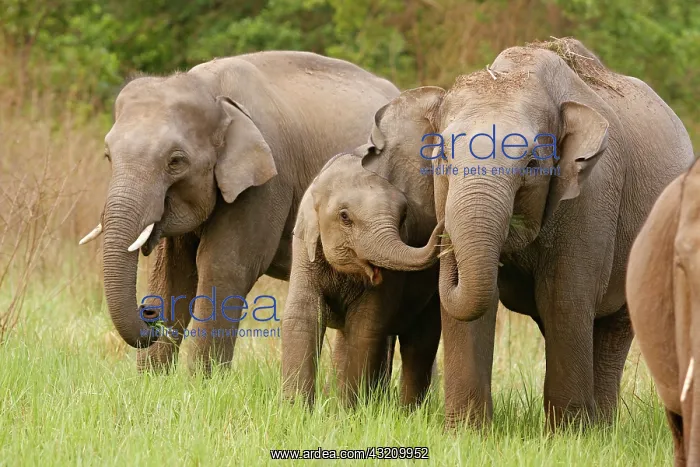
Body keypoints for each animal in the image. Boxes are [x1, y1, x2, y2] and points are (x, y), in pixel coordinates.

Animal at [78, 51, 399, 374]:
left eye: (176, 161)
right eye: (108, 156)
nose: (149, 313)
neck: (210, 90)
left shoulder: (265, 183)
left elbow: (223, 266)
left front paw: (200, 381)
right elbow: (172, 272)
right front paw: (153, 380)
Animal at [282, 89, 446, 407]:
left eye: (403, 217)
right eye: (345, 217)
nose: (443, 224)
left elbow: (366, 327)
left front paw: (347, 411)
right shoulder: (304, 247)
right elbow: (301, 316)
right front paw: (297, 409)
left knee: (419, 342)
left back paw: (407, 411)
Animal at [351, 38, 694, 430]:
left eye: (531, 164)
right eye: (443, 158)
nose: (440, 229)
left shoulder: (592, 193)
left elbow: (563, 299)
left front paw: (567, 436)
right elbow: (474, 302)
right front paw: (467, 432)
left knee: (613, 329)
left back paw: (600, 430)